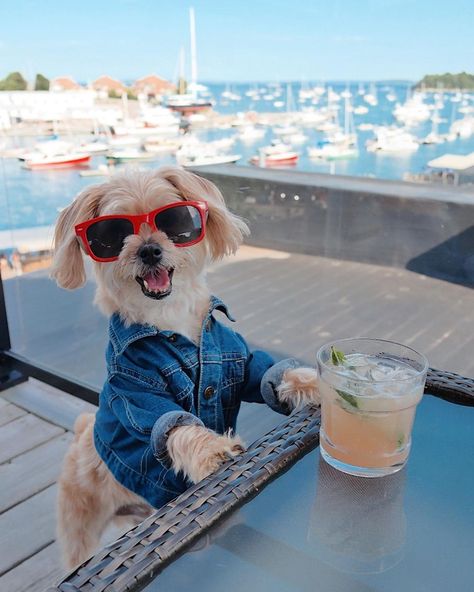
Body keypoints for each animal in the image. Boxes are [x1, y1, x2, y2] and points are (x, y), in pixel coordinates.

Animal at [51, 166, 318, 568]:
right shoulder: (137, 392)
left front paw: (321, 383)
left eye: (175, 220)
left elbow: (268, 372)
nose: (149, 250)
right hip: (80, 529)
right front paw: (211, 450)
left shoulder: (238, 362)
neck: (168, 317)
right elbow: (172, 425)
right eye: (112, 234)